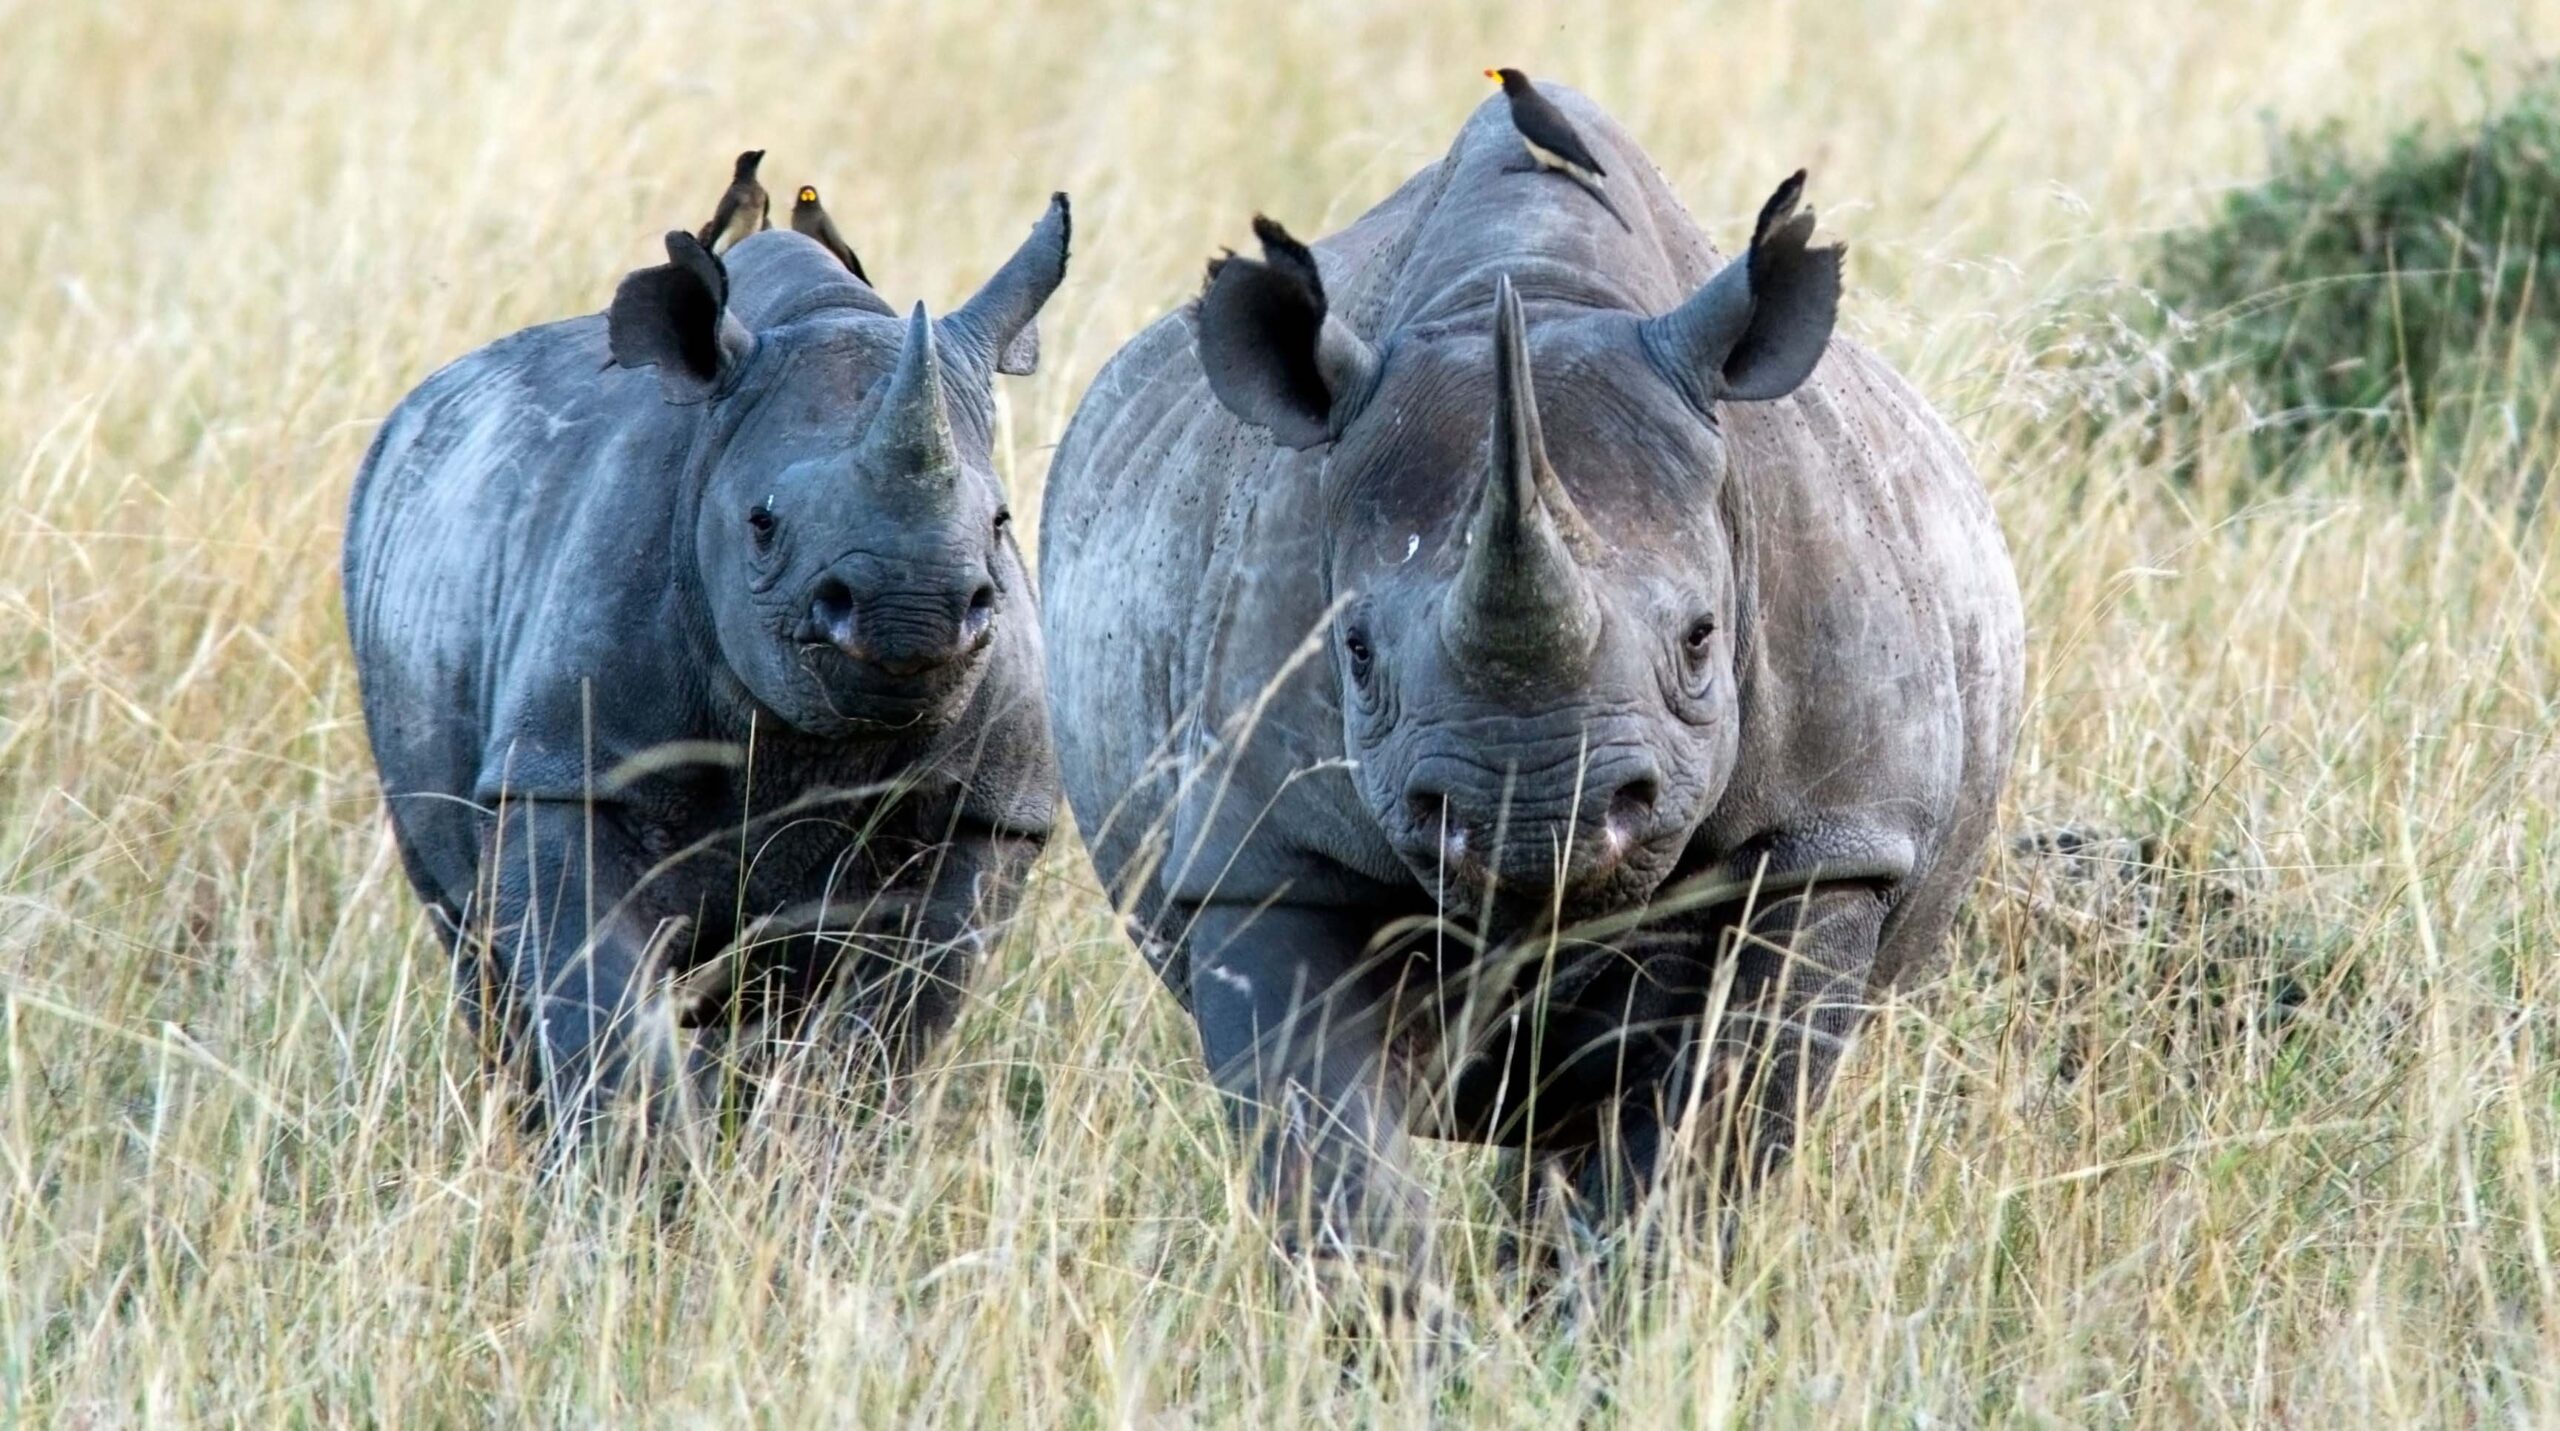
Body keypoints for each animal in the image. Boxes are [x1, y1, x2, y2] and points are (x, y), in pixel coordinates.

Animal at [344, 197, 1070, 1140]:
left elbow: (882, 1034)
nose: (909, 612)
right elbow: (601, 1009)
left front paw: (815, 1164)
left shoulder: (988, 813)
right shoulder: (565, 771)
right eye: (762, 524)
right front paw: (634, 1171)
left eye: (1001, 521)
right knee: (475, 947)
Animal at [1040, 90, 2022, 1279]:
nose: (1540, 817)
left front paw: (1628, 1318)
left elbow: (1705, 1142)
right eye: (1354, 653)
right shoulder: (1259, 852)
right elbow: (1330, 1158)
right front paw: (1398, 1328)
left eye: (1702, 640)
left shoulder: (1834, 843)